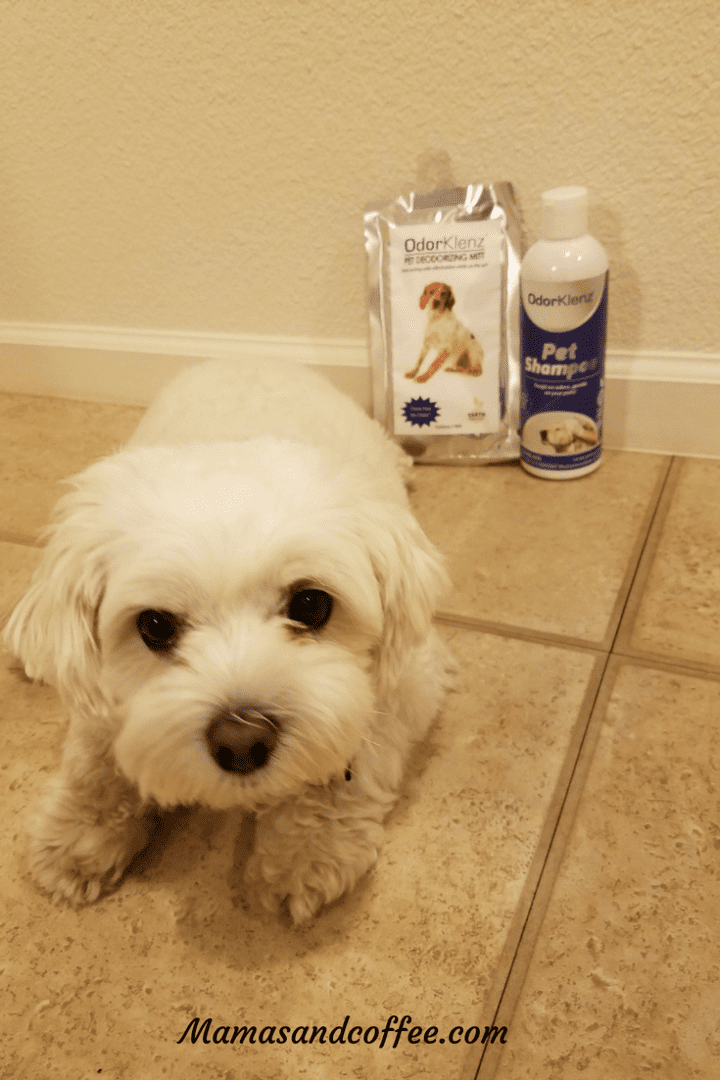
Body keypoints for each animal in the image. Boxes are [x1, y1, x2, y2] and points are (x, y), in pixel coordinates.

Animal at [5, 358, 453, 924]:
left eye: (311, 605)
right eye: (154, 625)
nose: (242, 742)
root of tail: (248, 358)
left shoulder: (413, 675)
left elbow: (362, 744)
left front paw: (306, 849)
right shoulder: (104, 695)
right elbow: (96, 763)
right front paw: (80, 832)